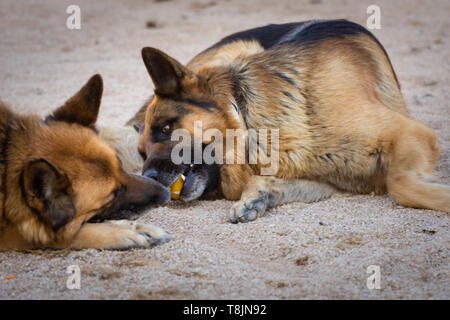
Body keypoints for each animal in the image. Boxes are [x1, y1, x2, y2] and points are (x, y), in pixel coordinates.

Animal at [126, 18, 450, 221]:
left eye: (167, 128)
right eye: (141, 152)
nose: (149, 178)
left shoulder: (409, 132)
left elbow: (400, 183)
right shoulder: (327, 178)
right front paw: (257, 196)